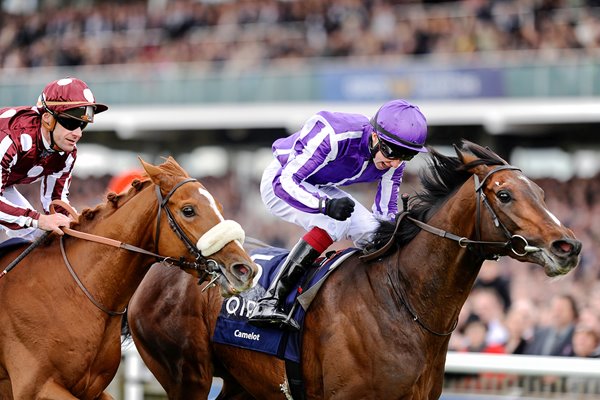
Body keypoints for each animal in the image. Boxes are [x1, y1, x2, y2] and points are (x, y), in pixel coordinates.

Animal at [0, 156, 258, 400]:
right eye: (188, 210)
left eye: (220, 207)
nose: (245, 269)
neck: (71, 291)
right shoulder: (37, 388)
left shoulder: (92, 390)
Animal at [126, 142, 580, 398]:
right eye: (504, 195)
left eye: (541, 193)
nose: (569, 246)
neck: (403, 304)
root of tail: (161, 267)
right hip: (187, 375)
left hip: (242, 382)